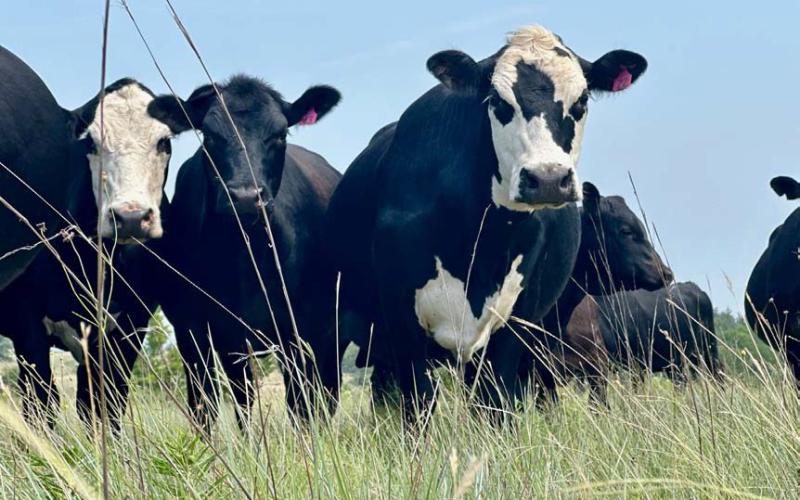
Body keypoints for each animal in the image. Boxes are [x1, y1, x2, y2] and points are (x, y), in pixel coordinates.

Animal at [0, 76, 176, 428]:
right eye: (91, 143)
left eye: (164, 142)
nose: (131, 217)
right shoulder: (28, 326)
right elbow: (41, 405)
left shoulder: (128, 329)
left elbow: (102, 406)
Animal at [146, 75, 343, 432]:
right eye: (210, 135)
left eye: (280, 134)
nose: (245, 196)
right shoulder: (195, 329)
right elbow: (209, 404)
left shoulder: (300, 329)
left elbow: (299, 404)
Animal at [326, 25, 648, 423]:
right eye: (498, 102)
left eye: (582, 101)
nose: (547, 178)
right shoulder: (401, 323)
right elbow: (417, 407)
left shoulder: (513, 329)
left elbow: (494, 405)